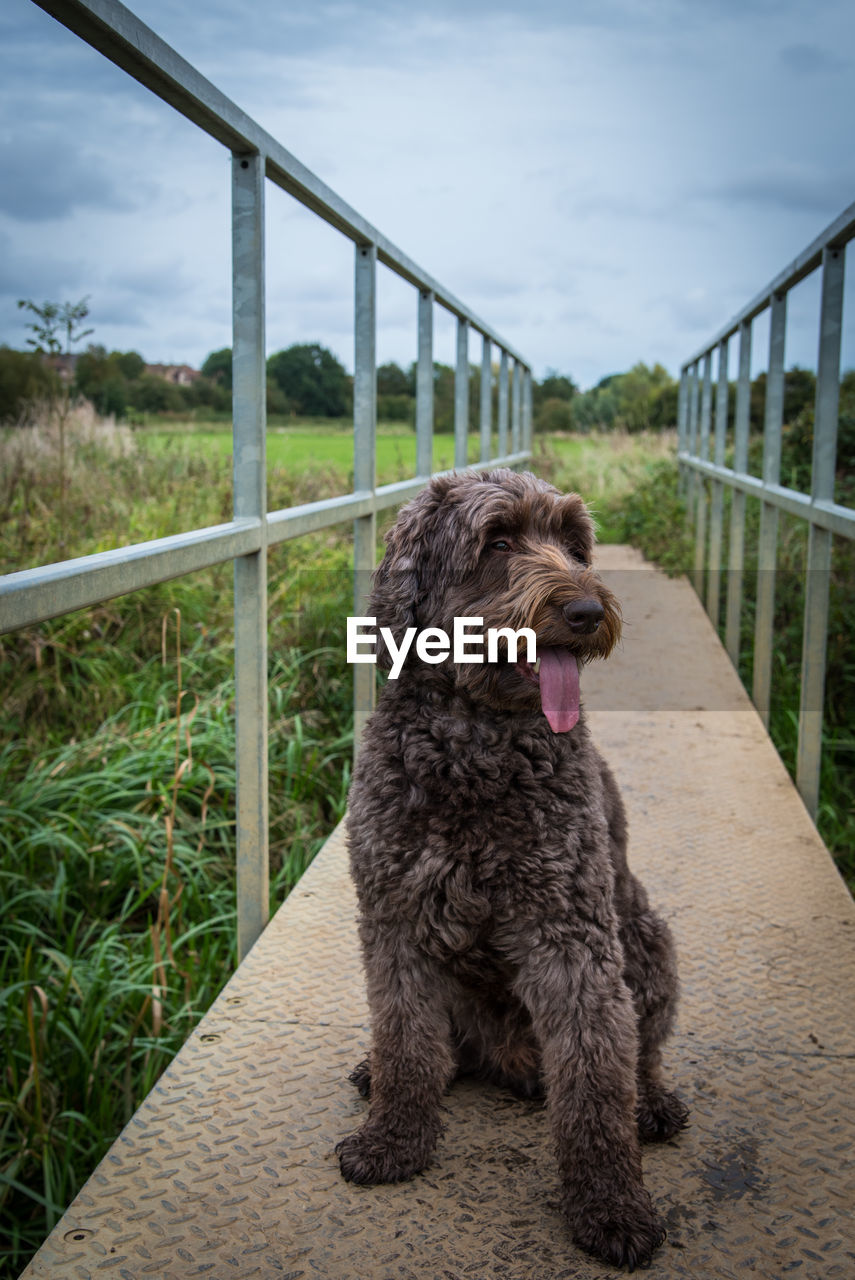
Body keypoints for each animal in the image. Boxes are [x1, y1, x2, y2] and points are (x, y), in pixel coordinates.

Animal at [337, 465, 686, 1264]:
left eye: (574, 542)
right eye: (496, 541)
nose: (587, 610)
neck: (474, 749)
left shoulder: (571, 935)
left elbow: (595, 1078)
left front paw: (610, 1205)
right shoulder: (394, 920)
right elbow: (405, 1040)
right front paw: (393, 1139)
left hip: (646, 937)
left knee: (639, 1053)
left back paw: (651, 1104)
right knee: (442, 1049)